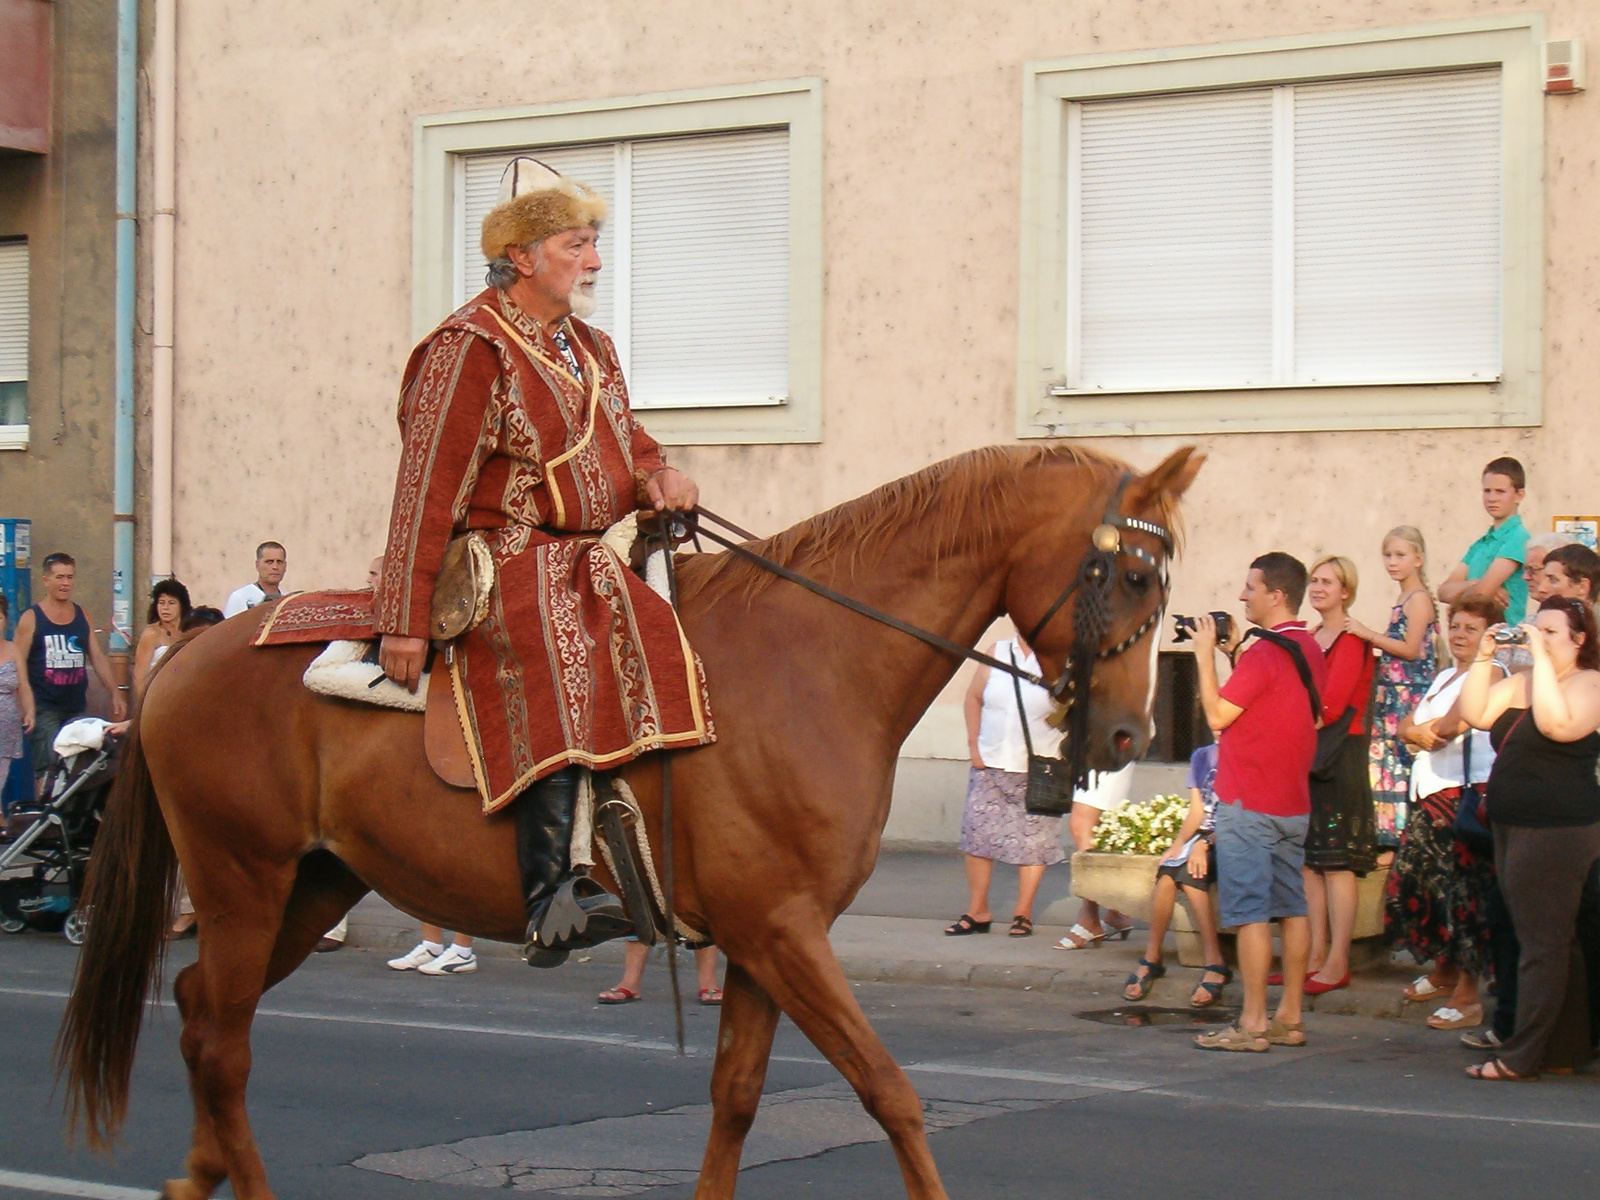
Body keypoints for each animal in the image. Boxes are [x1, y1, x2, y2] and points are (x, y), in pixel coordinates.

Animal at [59, 444, 1203, 1200]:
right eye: (1130, 572)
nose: (1126, 733)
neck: (811, 660)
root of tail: (177, 661)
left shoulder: (765, 939)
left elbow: (737, 1097)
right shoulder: (781, 932)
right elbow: (890, 1092)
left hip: (313, 882)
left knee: (205, 1013)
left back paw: (196, 1177)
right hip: (243, 879)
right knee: (221, 1039)